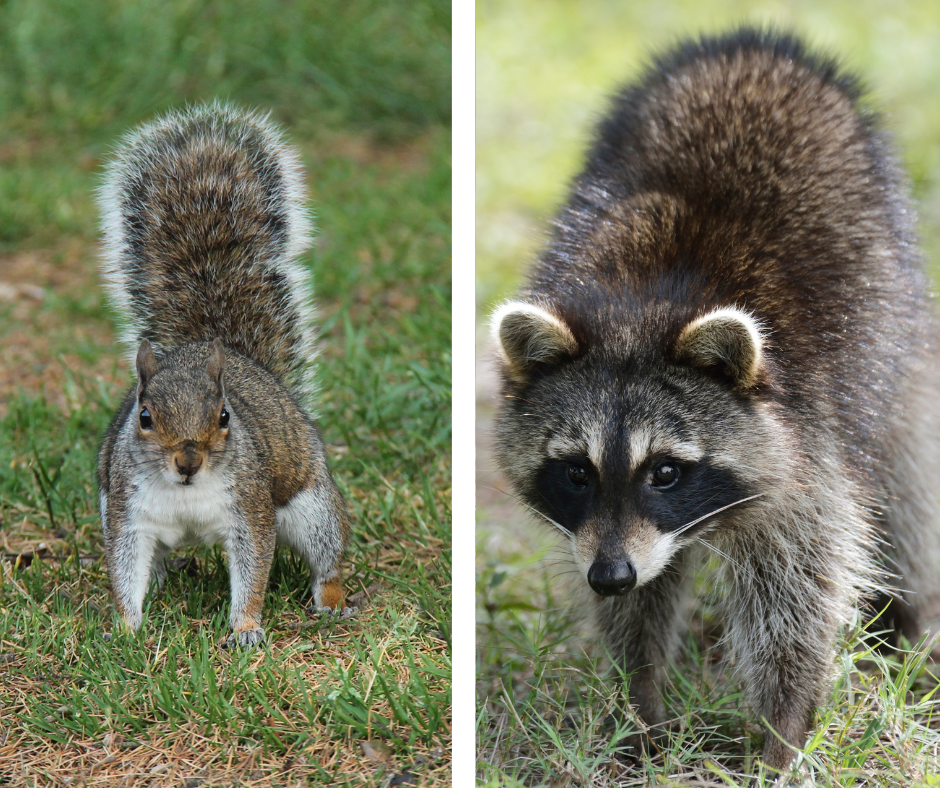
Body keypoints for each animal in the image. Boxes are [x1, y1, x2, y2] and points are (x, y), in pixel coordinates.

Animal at [96, 103, 351, 647]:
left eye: (224, 416)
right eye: (144, 417)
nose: (188, 461)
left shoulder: (250, 510)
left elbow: (253, 570)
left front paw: (247, 628)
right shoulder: (127, 516)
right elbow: (124, 570)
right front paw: (125, 627)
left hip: (313, 506)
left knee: (327, 557)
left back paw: (332, 599)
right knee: (155, 563)